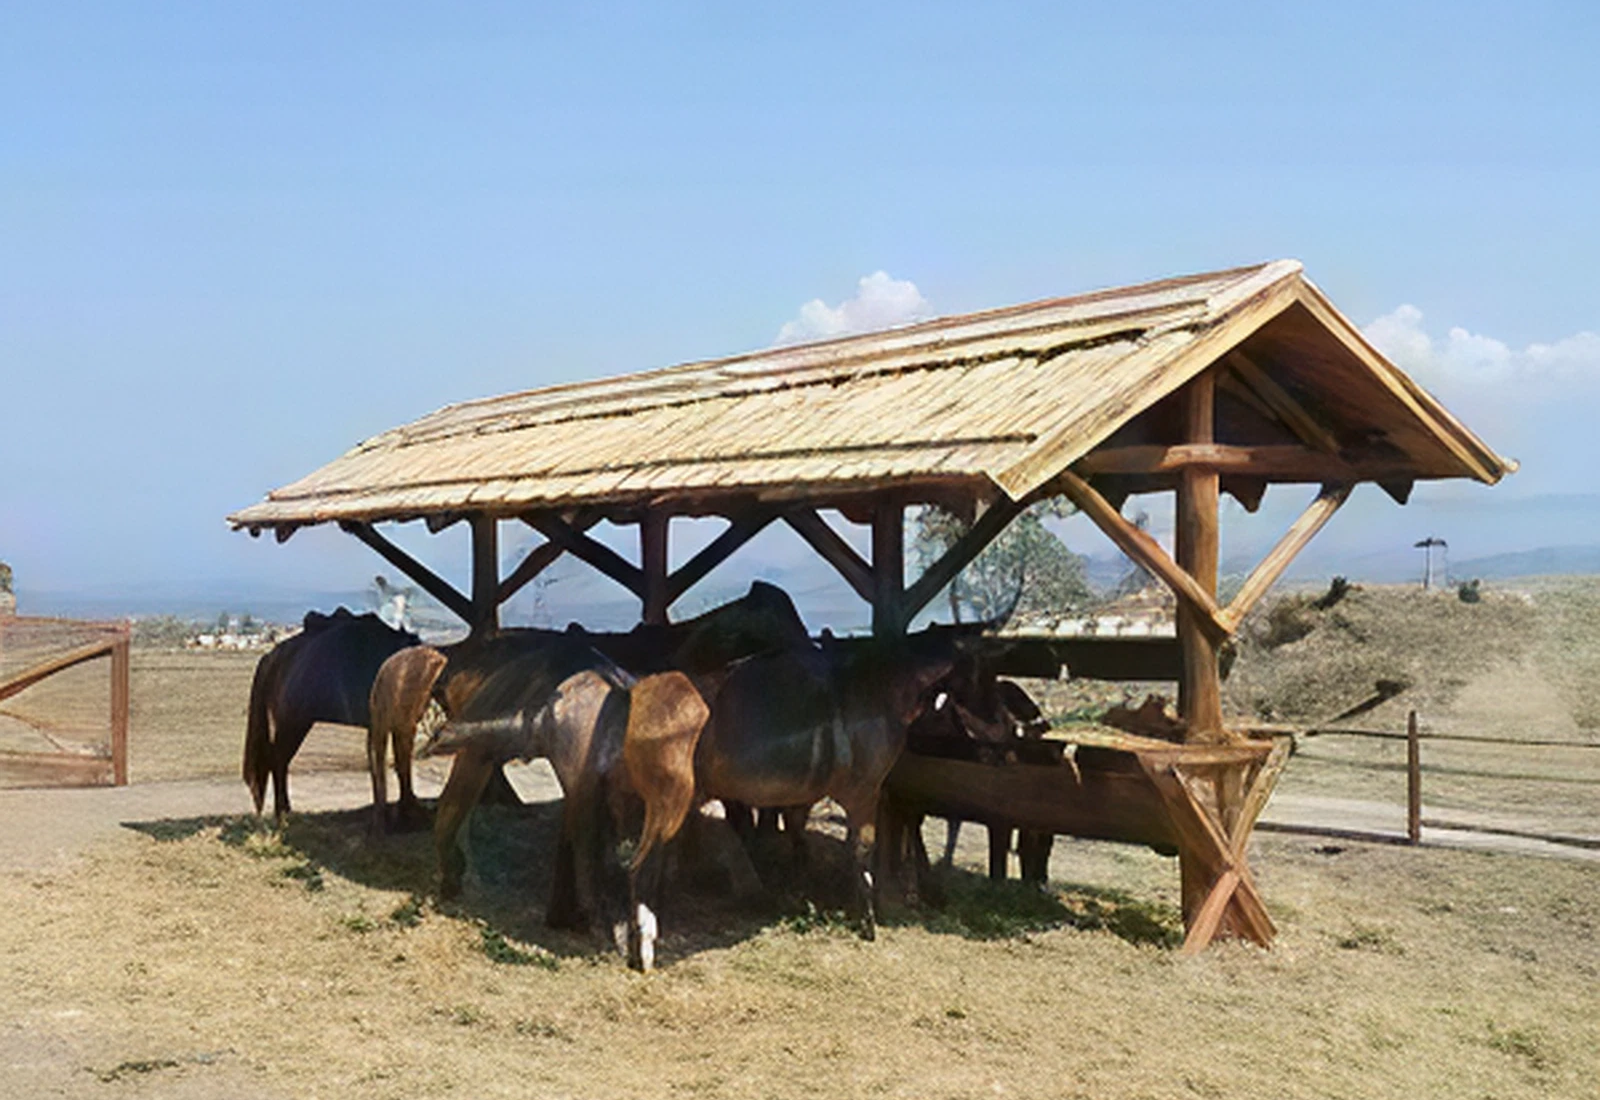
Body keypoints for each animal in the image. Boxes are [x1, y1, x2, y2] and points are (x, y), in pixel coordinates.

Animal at [243, 608, 420, 821]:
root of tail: (272, 656)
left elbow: (401, 762)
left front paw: (407, 808)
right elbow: (383, 768)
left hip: (299, 723)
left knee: (281, 760)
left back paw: (285, 810)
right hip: (291, 722)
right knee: (277, 759)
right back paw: (281, 813)